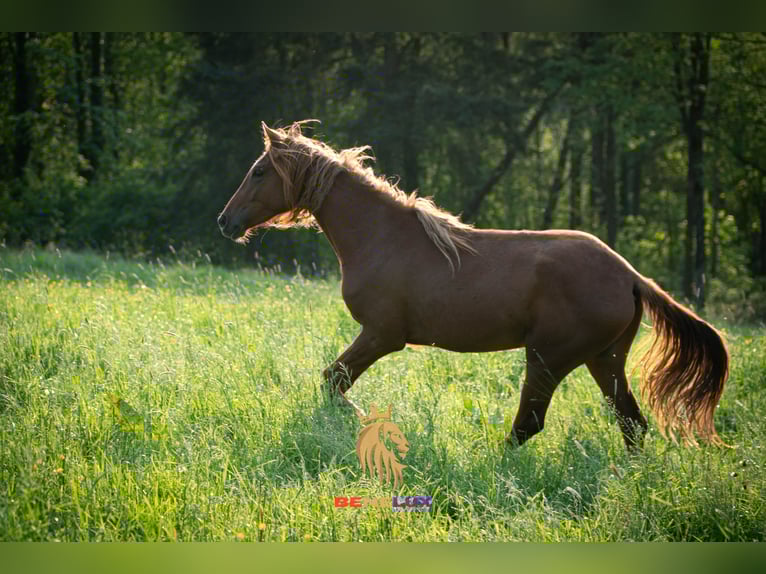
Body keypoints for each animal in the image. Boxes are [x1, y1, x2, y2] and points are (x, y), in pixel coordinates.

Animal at [217, 120, 729, 451]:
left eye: (259, 171)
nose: (225, 221)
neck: (381, 236)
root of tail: (630, 276)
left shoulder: (382, 336)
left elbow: (333, 381)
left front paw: (364, 423)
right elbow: (332, 382)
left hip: (549, 358)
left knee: (529, 425)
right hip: (603, 359)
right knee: (631, 424)